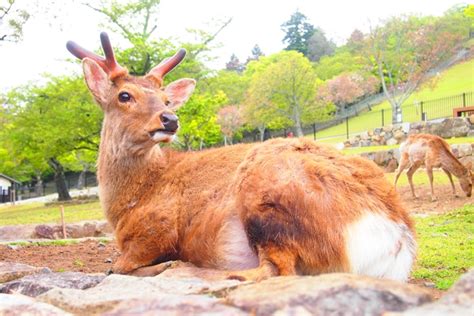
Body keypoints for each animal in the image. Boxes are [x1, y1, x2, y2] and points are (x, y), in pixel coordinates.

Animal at [65, 32, 414, 282]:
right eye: (124, 95)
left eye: (166, 99)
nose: (169, 119)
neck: (125, 205)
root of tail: (394, 235)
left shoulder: (155, 232)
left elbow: (116, 267)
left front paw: (165, 265)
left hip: (266, 192)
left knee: (275, 271)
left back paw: (196, 269)